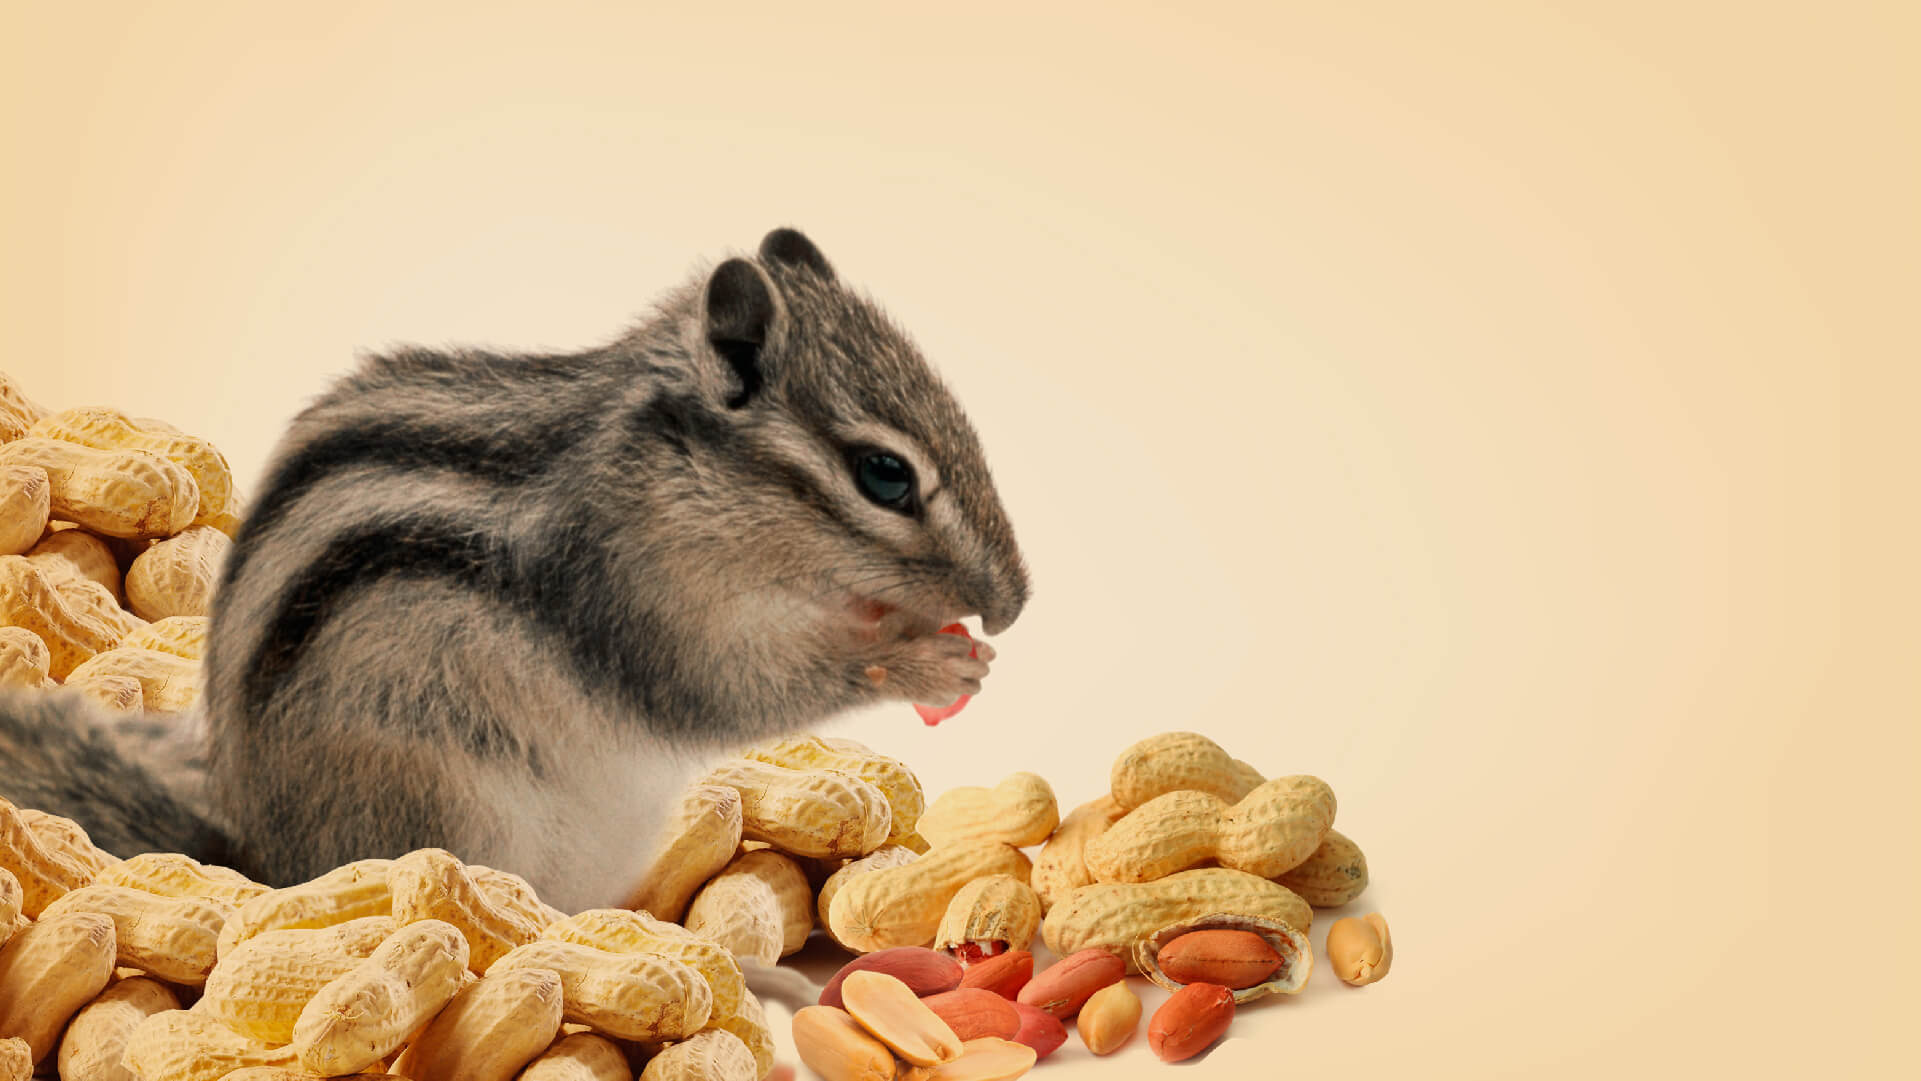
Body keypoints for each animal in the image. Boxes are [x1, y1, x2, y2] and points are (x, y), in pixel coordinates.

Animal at [0, 228, 1030, 922]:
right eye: (884, 474)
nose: (1016, 603)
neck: (683, 483)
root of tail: (253, 849)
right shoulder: (640, 601)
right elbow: (737, 690)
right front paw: (927, 660)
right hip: (451, 813)